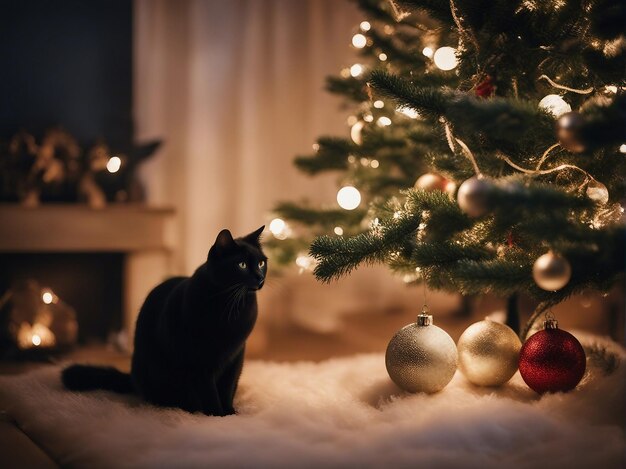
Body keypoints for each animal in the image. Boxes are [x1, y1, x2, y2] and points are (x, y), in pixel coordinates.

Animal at [62, 225, 266, 414]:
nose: (260, 277)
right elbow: (209, 391)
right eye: (242, 265)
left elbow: (228, 387)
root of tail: (132, 378)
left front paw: (229, 413)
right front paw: (216, 414)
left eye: (262, 263)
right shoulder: (199, 360)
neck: (231, 304)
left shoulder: (235, 355)